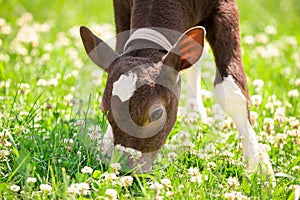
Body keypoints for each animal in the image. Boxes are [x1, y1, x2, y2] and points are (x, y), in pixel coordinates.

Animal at [79, 0, 274, 175]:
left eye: (156, 114)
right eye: (104, 110)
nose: (127, 169)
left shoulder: (225, 7)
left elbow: (231, 90)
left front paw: (258, 164)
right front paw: (106, 144)